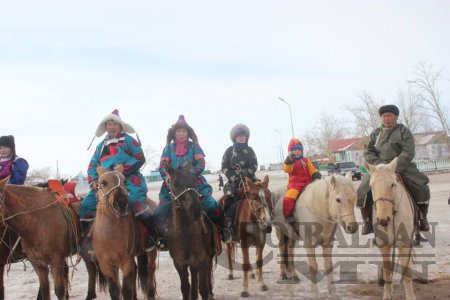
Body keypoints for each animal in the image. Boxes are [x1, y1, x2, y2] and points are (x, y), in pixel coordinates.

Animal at [91, 166, 158, 300]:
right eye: (103, 183)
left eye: (125, 181)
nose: (121, 203)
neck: (110, 235)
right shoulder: (106, 265)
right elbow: (114, 291)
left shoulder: (126, 262)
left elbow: (126, 290)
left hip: (151, 252)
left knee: (150, 270)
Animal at [163, 162, 216, 300]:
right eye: (175, 183)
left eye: (194, 181)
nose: (196, 210)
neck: (185, 234)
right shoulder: (180, 263)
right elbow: (185, 288)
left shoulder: (203, 260)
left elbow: (203, 289)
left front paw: (207, 293)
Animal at [366, 157, 414, 300]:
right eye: (371, 186)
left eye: (393, 185)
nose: (383, 219)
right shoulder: (384, 244)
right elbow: (388, 269)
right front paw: (387, 294)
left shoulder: (404, 243)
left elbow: (406, 272)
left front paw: (410, 296)